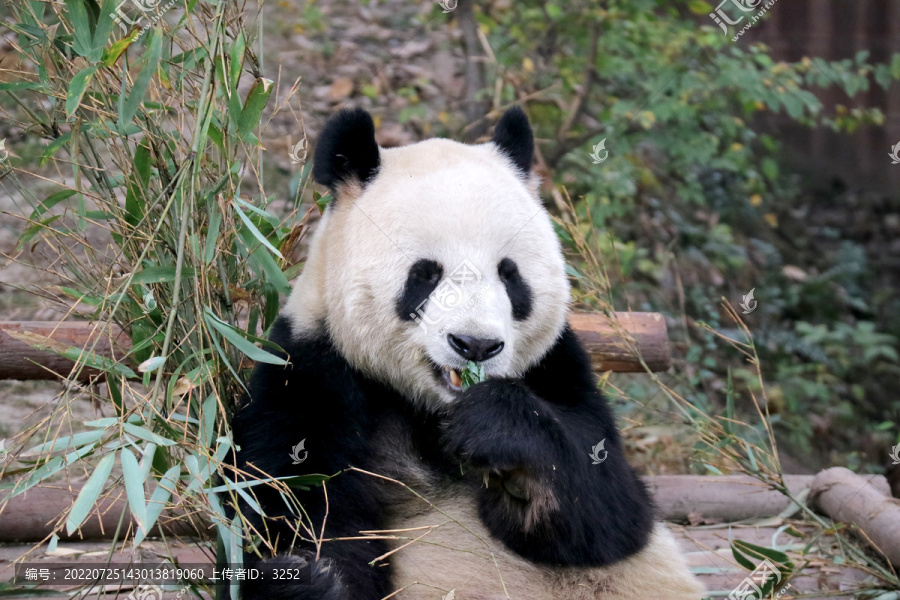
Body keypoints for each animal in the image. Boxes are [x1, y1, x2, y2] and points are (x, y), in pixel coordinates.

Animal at [229, 108, 708, 600]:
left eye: (509, 274)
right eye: (425, 274)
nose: (475, 345)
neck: (432, 411)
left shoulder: (556, 365)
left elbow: (613, 510)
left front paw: (496, 428)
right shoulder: (310, 370)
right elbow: (297, 506)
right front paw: (308, 579)